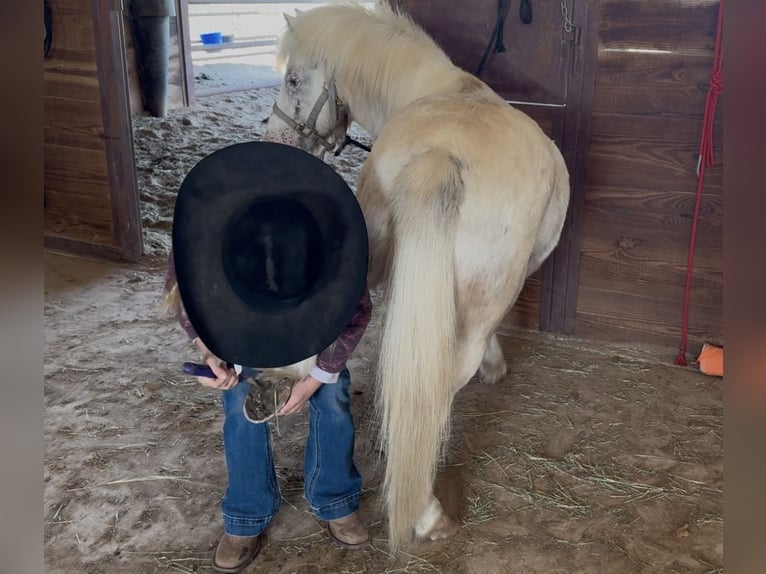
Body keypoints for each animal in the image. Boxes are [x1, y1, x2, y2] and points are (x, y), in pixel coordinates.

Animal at [264, 1, 571, 550]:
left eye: (294, 78)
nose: (275, 141)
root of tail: (439, 157)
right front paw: (495, 366)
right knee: (439, 385)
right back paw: (427, 511)